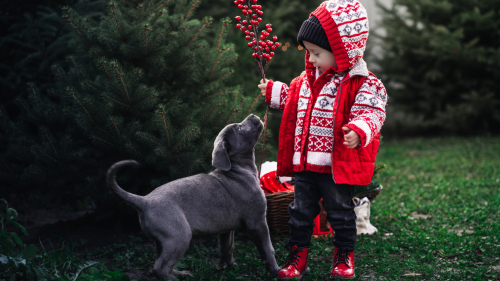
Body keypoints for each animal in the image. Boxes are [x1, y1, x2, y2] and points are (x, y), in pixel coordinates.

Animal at [106, 113, 280, 278]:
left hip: (162, 241)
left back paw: (180, 273)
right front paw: (276, 271)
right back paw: (175, 278)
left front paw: (230, 267)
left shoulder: (227, 229)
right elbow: (268, 249)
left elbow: (227, 248)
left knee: (160, 262)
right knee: (160, 267)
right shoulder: (257, 222)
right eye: (239, 128)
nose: (252, 115)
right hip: (179, 236)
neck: (238, 169)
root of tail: (144, 200)